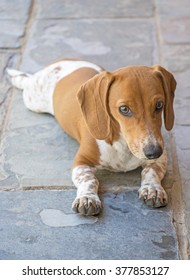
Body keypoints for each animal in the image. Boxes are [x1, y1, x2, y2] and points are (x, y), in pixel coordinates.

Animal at [7, 59, 177, 217]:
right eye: (124, 109)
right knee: (27, 82)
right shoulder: (81, 162)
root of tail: (59, 62)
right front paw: (87, 198)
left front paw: (153, 189)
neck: (122, 144)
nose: (154, 151)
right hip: (32, 100)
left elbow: (150, 172)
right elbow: (89, 179)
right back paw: (17, 77)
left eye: (159, 105)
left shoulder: (160, 159)